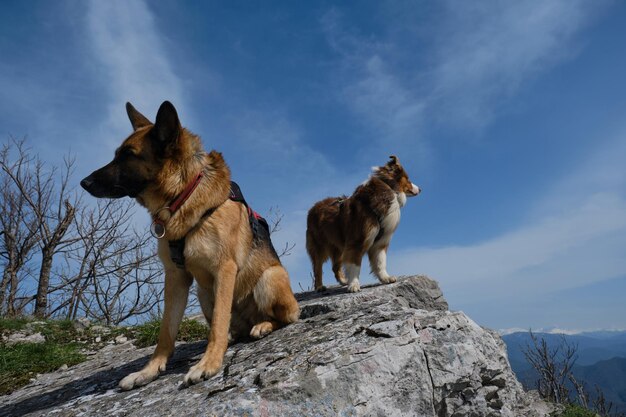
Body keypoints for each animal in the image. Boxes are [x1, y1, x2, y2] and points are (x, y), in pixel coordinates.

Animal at [80, 102, 300, 388]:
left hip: (270, 277)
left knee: (280, 318)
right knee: (234, 328)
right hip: (203, 292)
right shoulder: (176, 277)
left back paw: (262, 326)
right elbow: (166, 331)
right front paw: (148, 370)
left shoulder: (224, 269)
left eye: (128, 155)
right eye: (117, 154)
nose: (84, 182)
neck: (182, 196)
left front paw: (209, 363)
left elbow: (217, 325)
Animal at [304, 156, 416, 292]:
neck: (388, 188)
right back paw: (320, 286)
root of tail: (312, 208)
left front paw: (385, 278)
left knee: (335, 266)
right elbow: (355, 264)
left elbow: (380, 262)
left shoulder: (380, 242)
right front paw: (354, 284)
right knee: (317, 267)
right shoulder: (357, 241)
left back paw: (343, 281)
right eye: (408, 179)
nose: (420, 189)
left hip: (338, 245)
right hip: (319, 245)